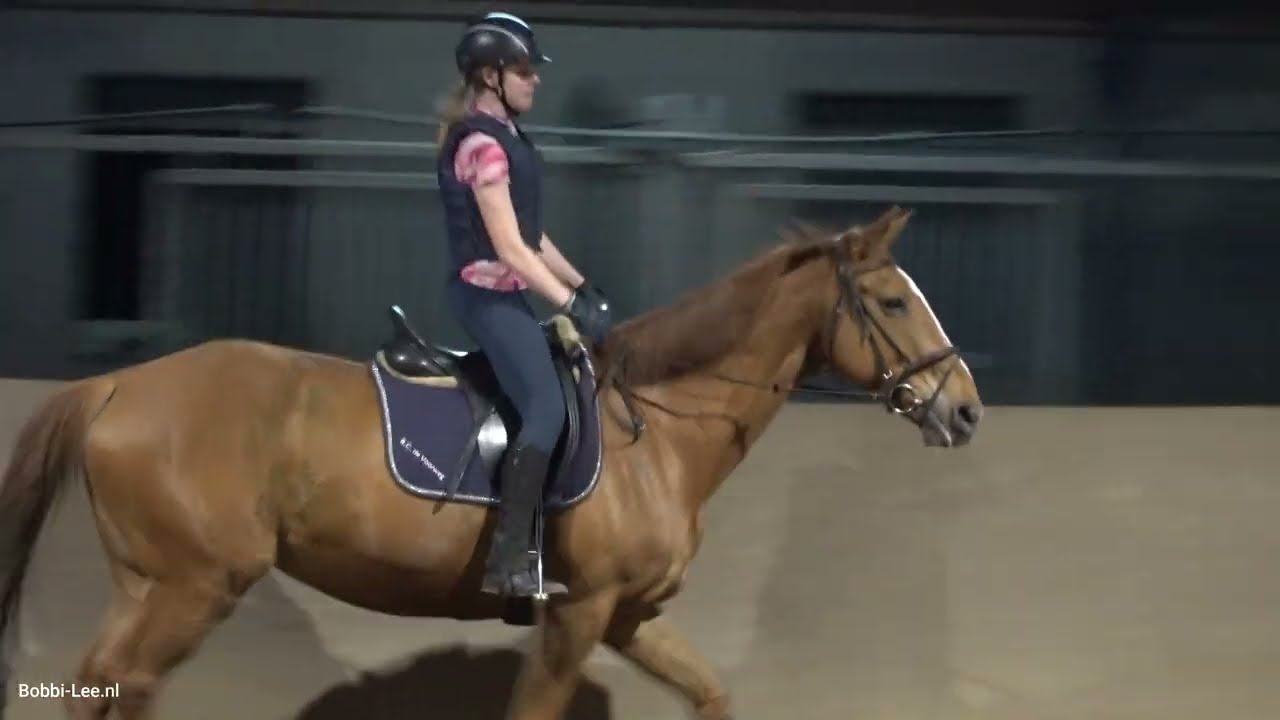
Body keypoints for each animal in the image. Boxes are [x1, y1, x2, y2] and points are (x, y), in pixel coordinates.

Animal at [0, 205, 982, 720]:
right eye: (895, 301)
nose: (966, 409)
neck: (656, 436)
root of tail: (118, 386)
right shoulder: (579, 614)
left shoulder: (630, 616)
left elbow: (711, 695)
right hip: (196, 586)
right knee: (124, 685)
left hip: (149, 583)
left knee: (101, 685)